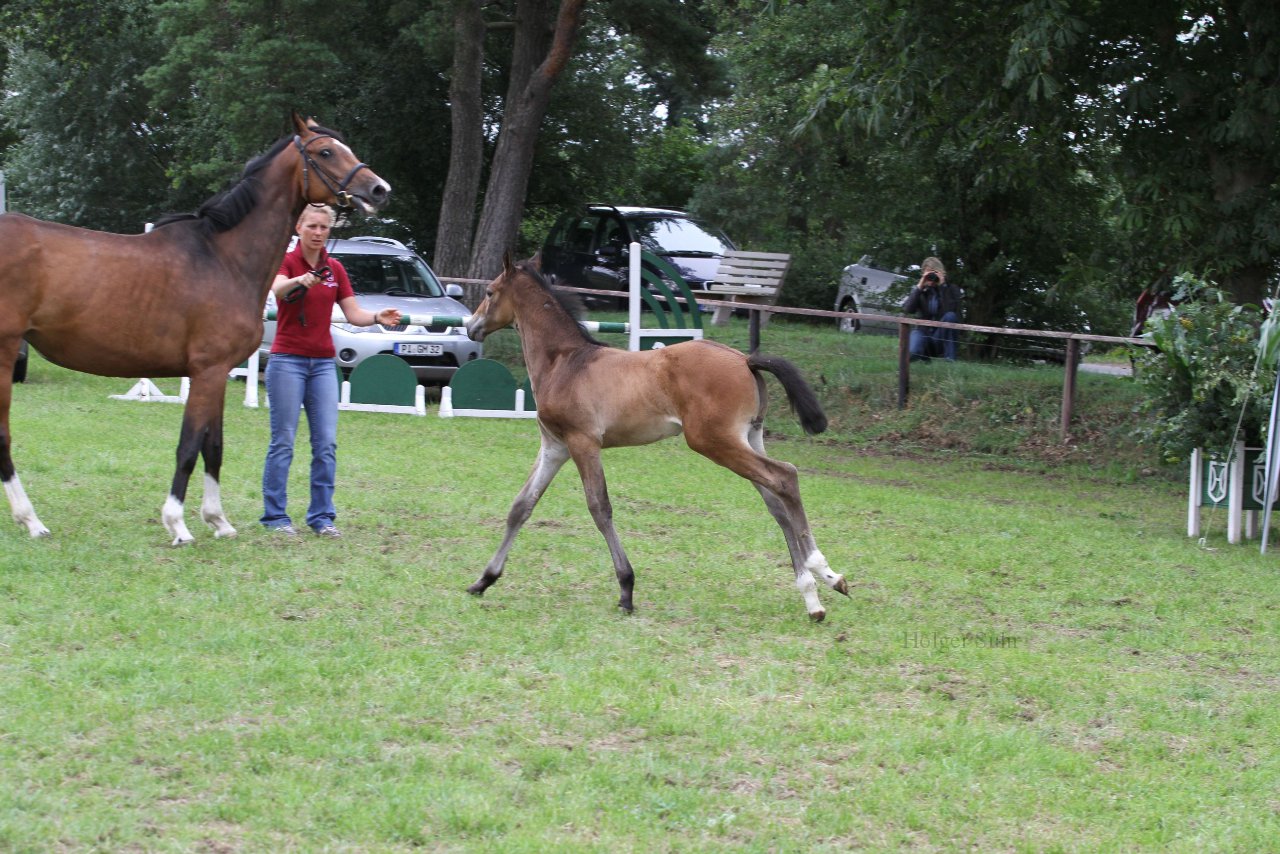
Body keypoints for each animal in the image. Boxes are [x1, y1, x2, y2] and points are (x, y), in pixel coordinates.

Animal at [0, 113, 389, 545]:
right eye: (325, 152)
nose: (378, 189)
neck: (223, 257)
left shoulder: (217, 374)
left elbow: (213, 446)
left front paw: (218, 521)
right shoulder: (207, 371)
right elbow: (189, 447)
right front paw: (178, 524)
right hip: (4, 353)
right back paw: (31, 520)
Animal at [463, 256, 849, 622]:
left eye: (490, 292)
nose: (470, 326)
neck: (566, 362)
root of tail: (746, 360)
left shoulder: (582, 442)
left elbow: (600, 508)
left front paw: (626, 590)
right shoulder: (554, 447)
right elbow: (521, 507)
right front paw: (484, 580)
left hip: (714, 441)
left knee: (785, 476)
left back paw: (823, 571)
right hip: (748, 438)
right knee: (776, 502)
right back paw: (814, 595)